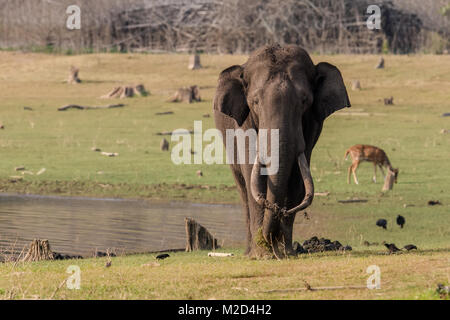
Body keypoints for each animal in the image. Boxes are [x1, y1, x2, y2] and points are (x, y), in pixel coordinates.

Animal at [213, 45, 350, 258]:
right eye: (255, 102)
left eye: (304, 101)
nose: (279, 209)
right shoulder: (242, 124)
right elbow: (253, 174)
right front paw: (262, 255)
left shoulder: (311, 125)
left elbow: (296, 177)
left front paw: (286, 252)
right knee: (243, 188)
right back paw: (249, 251)